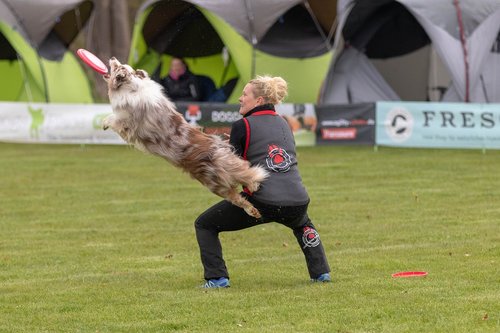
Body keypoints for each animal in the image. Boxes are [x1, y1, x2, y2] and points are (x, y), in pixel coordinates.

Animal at [99, 57, 268, 218]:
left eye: (117, 66)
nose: (112, 58)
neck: (132, 88)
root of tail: (219, 146)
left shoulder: (126, 121)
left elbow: (111, 118)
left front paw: (104, 124)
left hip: (216, 176)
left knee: (246, 174)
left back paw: (254, 184)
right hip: (216, 183)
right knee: (238, 194)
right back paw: (253, 208)